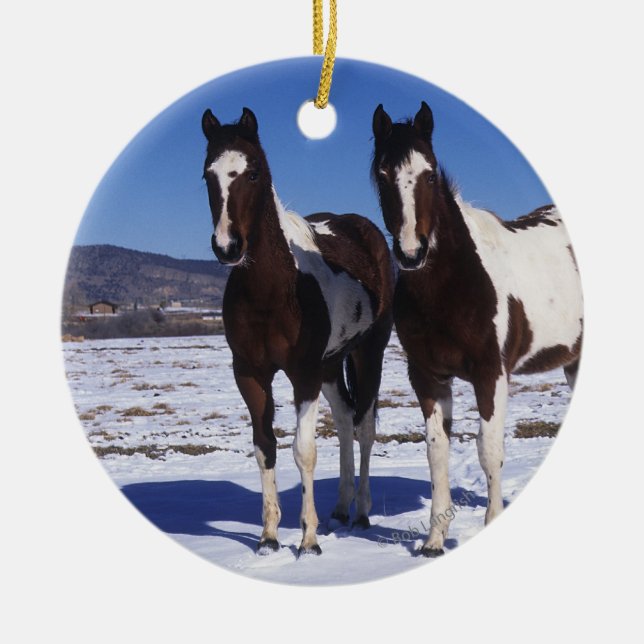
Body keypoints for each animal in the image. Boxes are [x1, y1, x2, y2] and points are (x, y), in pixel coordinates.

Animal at [202, 107, 394, 555]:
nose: (227, 247)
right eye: (207, 175)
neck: (274, 289)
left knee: (364, 427)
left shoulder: (303, 374)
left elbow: (303, 450)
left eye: (253, 173)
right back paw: (340, 508)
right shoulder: (250, 374)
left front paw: (308, 541)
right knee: (344, 420)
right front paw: (269, 536)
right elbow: (265, 448)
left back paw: (361, 512)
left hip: (367, 353)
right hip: (331, 365)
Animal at [371, 101, 583, 557]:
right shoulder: (428, 377)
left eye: (430, 173)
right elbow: (437, 453)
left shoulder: (492, 374)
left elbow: (489, 450)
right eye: (382, 173)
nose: (411, 253)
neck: (455, 282)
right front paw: (434, 541)